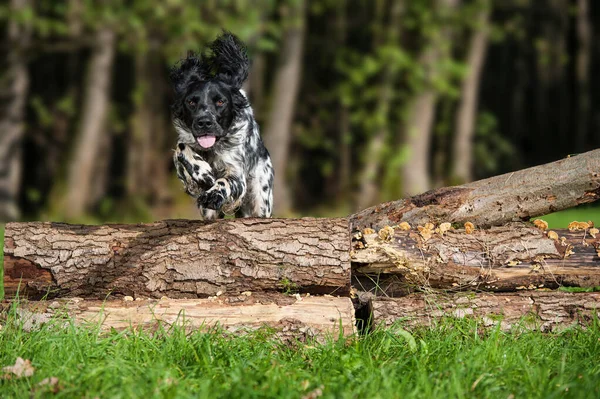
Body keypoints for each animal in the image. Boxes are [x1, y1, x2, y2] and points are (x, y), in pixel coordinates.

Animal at [168, 32, 274, 220]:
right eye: (191, 102)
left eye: (220, 101)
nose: (204, 122)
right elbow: (181, 148)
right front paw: (203, 172)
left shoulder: (237, 174)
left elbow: (224, 181)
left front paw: (213, 194)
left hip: (260, 201)